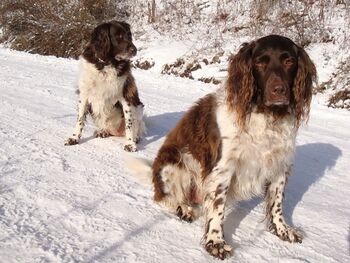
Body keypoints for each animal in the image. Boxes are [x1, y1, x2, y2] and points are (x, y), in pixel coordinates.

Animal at [128, 35, 318, 260]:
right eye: (260, 62)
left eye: (289, 61)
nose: (278, 90)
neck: (266, 115)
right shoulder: (223, 168)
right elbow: (217, 208)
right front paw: (216, 242)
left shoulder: (280, 165)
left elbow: (277, 203)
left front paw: (282, 230)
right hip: (174, 162)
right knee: (163, 197)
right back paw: (183, 209)